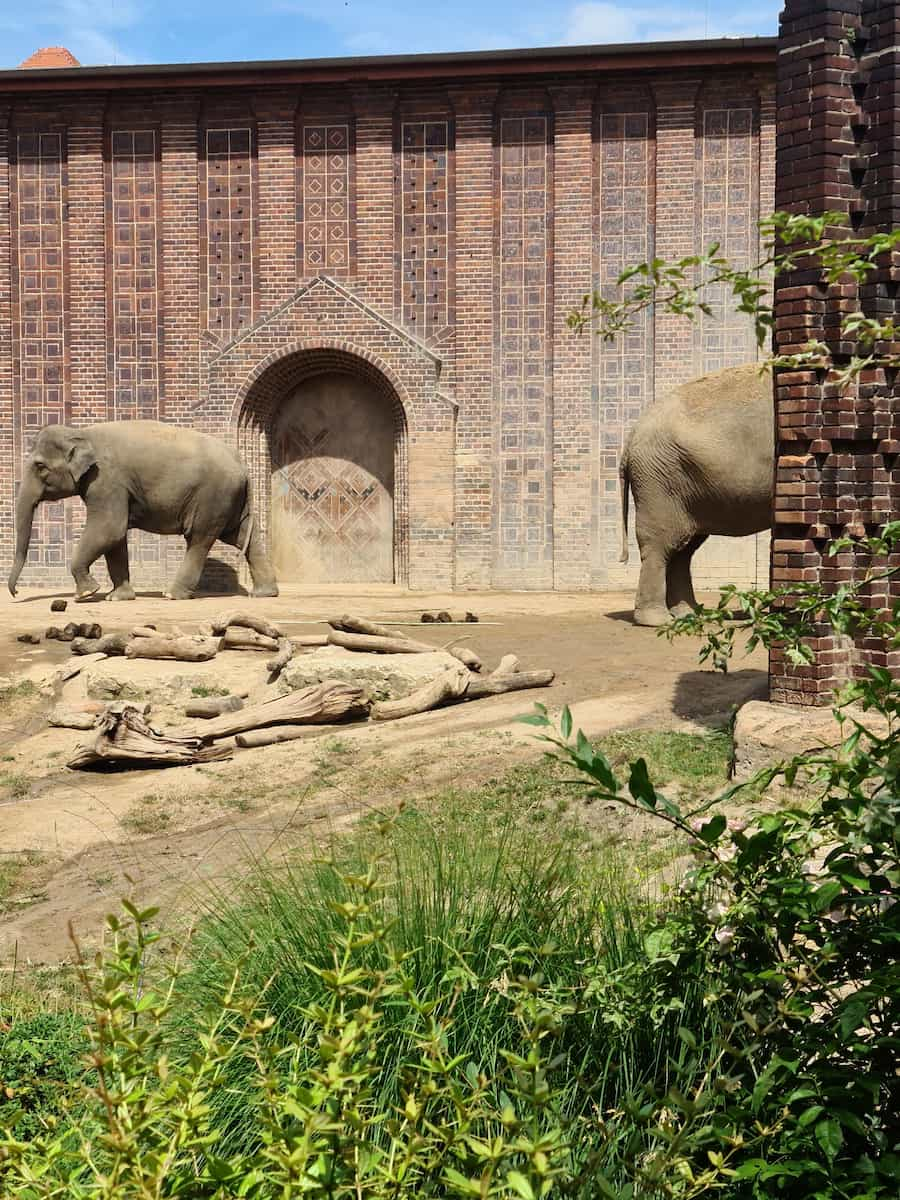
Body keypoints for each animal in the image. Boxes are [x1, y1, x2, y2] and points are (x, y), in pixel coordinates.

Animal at [7, 422, 278, 604]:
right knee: (242, 536)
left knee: (199, 539)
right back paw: (264, 593)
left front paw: (87, 593)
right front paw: (117, 598)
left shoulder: (107, 480)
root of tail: (243, 465)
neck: (82, 432)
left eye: (40, 466)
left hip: (212, 497)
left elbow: (109, 529)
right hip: (229, 499)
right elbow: (115, 538)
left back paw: (172, 594)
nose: (15, 593)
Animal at [619, 362, 777, 628]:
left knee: (683, 550)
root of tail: (632, 434)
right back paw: (657, 620)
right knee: (660, 544)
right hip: (658, 480)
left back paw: (690, 615)